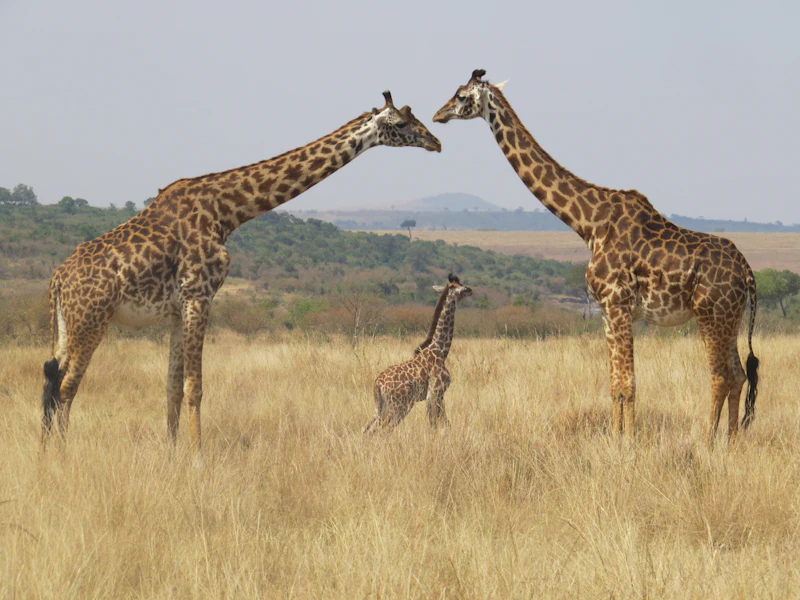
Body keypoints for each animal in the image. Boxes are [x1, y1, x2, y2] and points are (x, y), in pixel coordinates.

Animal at [41, 91, 442, 450]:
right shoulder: (199, 295)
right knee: (67, 387)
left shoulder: (177, 309)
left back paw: (46, 452)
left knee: (51, 379)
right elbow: (195, 387)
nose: (435, 141)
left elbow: (172, 387)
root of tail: (58, 280)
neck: (227, 210)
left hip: (65, 325)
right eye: (401, 123)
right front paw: (198, 459)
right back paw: (63, 454)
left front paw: (172, 454)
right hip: (91, 321)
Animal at [364, 274, 472, 434]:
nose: (470, 290)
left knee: (368, 429)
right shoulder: (436, 392)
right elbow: (438, 424)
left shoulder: (435, 395)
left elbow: (439, 423)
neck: (441, 349)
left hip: (381, 407)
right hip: (400, 405)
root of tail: (378, 383)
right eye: (457, 286)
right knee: (385, 430)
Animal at [433, 70, 759, 444]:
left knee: (721, 376)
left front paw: (629, 443)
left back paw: (707, 442)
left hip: (710, 314)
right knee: (739, 375)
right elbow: (615, 384)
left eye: (460, 96)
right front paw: (616, 440)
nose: (438, 115)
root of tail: (747, 271)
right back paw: (731, 442)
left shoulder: (618, 304)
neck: (589, 224)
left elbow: (629, 383)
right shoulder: (606, 310)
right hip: (731, 317)